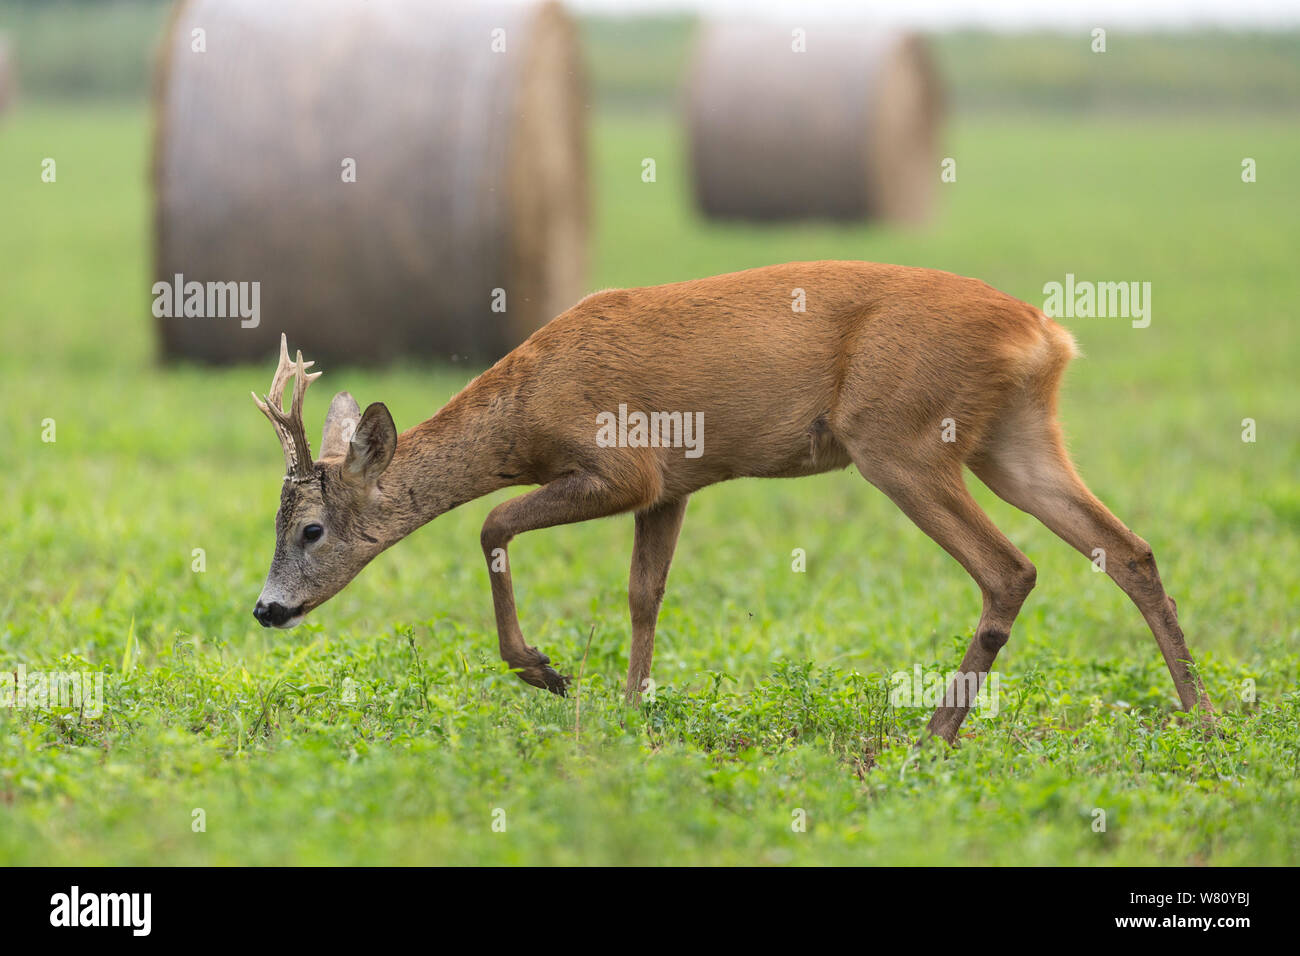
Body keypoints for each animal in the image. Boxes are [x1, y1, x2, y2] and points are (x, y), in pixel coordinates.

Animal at [256, 264, 1216, 749]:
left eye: (311, 529)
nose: (265, 609)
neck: (525, 413)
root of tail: (1043, 332)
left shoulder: (624, 467)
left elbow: (492, 523)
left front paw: (545, 671)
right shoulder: (673, 488)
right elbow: (643, 594)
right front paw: (631, 707)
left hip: (898, 435)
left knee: (1010, 567)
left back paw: (938, 729)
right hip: (1014, 434)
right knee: (1130, 549)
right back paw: (1200, 716)